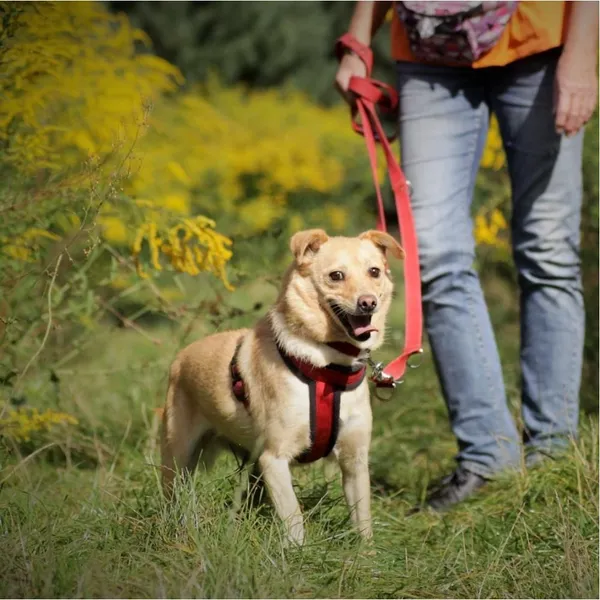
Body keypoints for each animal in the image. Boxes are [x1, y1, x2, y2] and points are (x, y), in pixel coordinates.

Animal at [159, 229, 404, 544]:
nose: (368, 302)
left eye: (374, 272)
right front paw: (298, 555)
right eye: (336, 276)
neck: (328, 365)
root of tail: (181, 357)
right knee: (174, 495)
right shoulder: (274, 459)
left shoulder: (355, 461)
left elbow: (363, 523)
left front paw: (367, 556)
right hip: (178, 458)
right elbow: (294, 520)